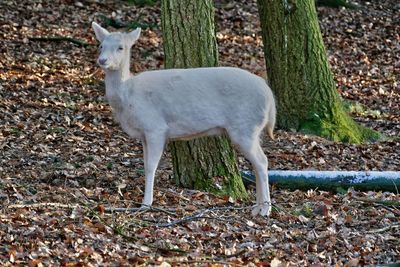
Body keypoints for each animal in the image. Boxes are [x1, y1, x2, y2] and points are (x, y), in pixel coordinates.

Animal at [92, 22, 276, 217]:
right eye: (101, 46)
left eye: (121, 47)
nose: (102, 60)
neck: (128, 96)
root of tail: (270, 96)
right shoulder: (144, 134)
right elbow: (145, 163)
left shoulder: (155, 127)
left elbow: (150, 166)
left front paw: (146, 204)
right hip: (252, 129)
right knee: (258, 163)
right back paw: (257, 207)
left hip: (245, 126)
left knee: (262, 161)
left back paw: (265, 209)